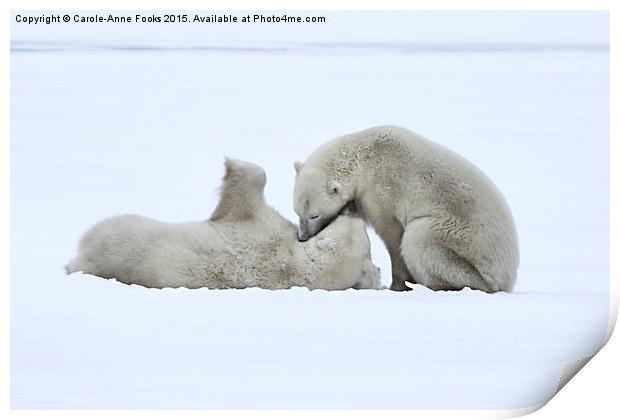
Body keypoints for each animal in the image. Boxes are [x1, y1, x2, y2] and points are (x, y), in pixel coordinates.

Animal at [294, 126, 520, 294]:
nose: (302, 237)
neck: (363, 155)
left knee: (419, 239)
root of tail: (508, 277)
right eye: (297, 212)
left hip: (460, 244)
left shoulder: (382, 188)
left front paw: (396, 286)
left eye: (314, 215)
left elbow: (393, 234)